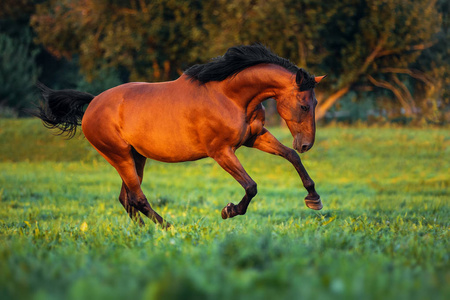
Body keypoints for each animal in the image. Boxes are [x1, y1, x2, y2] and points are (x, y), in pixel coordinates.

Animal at [33, 44, 326, 227]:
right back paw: (169, 229)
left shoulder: (254, 138)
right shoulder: (221, 151)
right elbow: (251, 186)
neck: (230, 96)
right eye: (304, 105)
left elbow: (290, 156)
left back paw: (142, 233)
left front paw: (313, 199)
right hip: (119, 155)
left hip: (136, 156)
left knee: (127, 199)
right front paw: (229, 210)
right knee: (137, 198)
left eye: (315, 102)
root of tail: (93, 103)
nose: (306, 144)